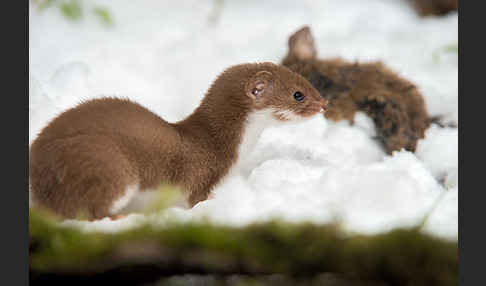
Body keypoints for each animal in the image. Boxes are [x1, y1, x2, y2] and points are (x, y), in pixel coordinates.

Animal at [29, 62, 326, 219]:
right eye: (298, 94)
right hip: (108, 163)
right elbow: (196, 199)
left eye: (306, 79)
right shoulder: (200, 176)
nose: (324, 103)